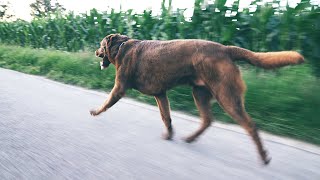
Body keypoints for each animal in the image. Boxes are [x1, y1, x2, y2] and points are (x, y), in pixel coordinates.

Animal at [89, 33, 302, 165]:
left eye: (100, 45)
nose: (95, 51)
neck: (121, 47)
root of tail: (225, 49)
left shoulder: (119, 88)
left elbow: (106, 103)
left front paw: (95, 112)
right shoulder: (160, 94)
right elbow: (166, 117)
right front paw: (169, 134)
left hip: (226, 96)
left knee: (250, 126)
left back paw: (264, 156)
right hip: (200, 93)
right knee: (208, 120)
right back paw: (191, 138)